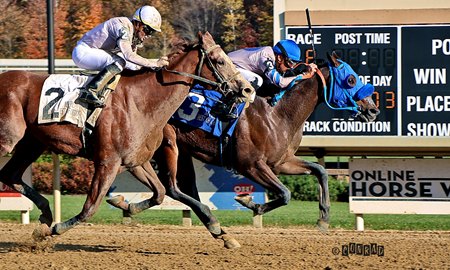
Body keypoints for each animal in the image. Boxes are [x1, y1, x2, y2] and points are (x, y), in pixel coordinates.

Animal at [0, 31, 255, 238]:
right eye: (220, 61)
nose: (247, 89)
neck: (141, 102)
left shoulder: (135, 161)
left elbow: (160, 192)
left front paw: (124, 204)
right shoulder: (108, 162)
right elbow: (89, 208)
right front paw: (52, 230)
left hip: (31, 144)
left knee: (10, 175)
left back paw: (45, 211)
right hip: (9, 140)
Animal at [109, 51, 380, 248]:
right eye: (351, 79)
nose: (373, 109)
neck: (278, 113)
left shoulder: (281, 161)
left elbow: (319, 171)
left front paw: (323, 219)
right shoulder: (250, 165)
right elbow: (285, 193)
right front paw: (251, 203)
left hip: (181, 152)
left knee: (178, 189)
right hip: (169, 145)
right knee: (172, 187)